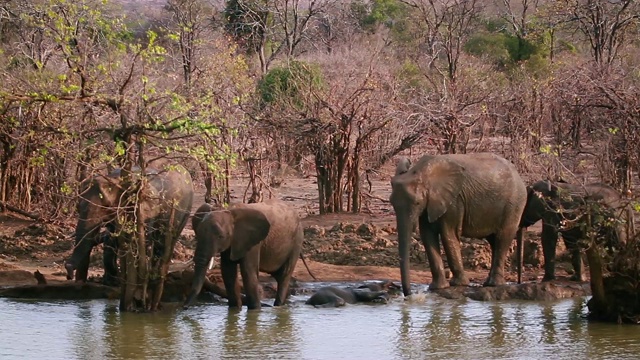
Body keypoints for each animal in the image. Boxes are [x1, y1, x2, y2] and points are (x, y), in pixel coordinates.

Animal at [65, 165, 196, 292]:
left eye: (106, 206)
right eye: (79, 204)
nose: (69, 273)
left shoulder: (146, 209)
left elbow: (139, 239)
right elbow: (113, 239)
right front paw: (112, 282)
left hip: (185, 212)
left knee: (165, 243)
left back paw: (154, 279)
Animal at [390, 153, 524, 296]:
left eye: (417, 203)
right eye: (391, 202)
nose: (408, 294)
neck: (424, 173)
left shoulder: (454, 201)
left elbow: (449, 234)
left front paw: (459, 284)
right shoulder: (431, 203)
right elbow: (427, 236)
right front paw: (438, 288)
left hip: (513, 204)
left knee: (502, 238)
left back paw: (494, 284)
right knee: (494, 241)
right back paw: (488, 282)